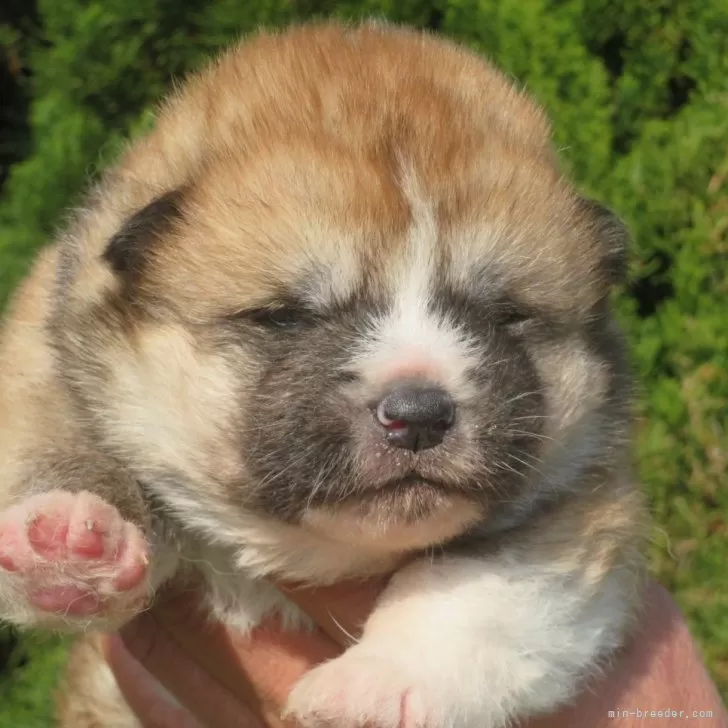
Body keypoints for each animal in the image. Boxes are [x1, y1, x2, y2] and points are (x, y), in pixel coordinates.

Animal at [0, 19, 648, 724]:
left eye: (506, 315)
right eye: (285, 316)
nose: (419, 414)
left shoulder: (582, 496)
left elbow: (473, 583)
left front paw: (383, 682)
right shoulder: (44, 350)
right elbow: (50, 431)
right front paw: (65, 542)